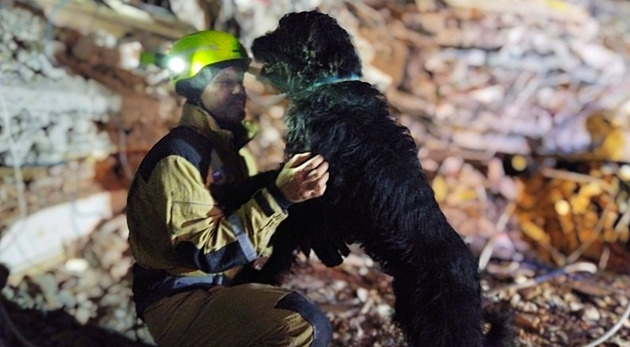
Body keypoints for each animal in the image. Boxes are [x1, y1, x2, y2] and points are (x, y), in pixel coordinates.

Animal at [235, 9, 516, 346]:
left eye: (282, 33)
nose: (253, 42)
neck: (330, 84)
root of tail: (472, 277)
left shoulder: (310, 188)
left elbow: (284, 229)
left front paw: (257, 275)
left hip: (439, 326)